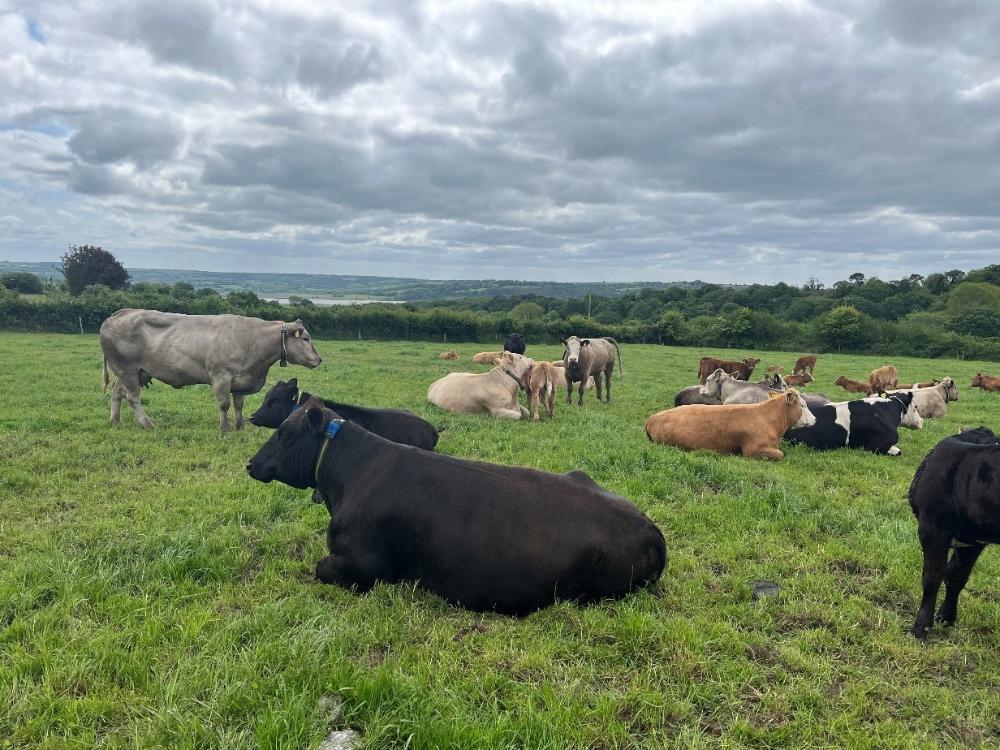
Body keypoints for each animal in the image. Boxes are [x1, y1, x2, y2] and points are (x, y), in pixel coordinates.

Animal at [100, 309, 322, 433]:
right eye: (305, 338)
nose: (319, 359)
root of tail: (118, 314)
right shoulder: (221, 376)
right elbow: (224, 404)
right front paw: (224, 430)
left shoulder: (241, 380)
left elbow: (239, 404)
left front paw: (240, 427)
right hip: (127, 369)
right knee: (132, 397)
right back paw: (148, 425)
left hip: (130, 372)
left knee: (117, 391)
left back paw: (115, 421)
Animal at [245, 400, 667, 615]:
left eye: (284, 432)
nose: (250, 464)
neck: (352, 472)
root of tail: (651, 529)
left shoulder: (365, 567)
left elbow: (320, 568)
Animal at [908, 427, 1000, 638]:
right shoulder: (971, 540)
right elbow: (955, 576)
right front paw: (945, 618)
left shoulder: (932, 528)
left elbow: (933, 576)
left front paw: (921, 627)